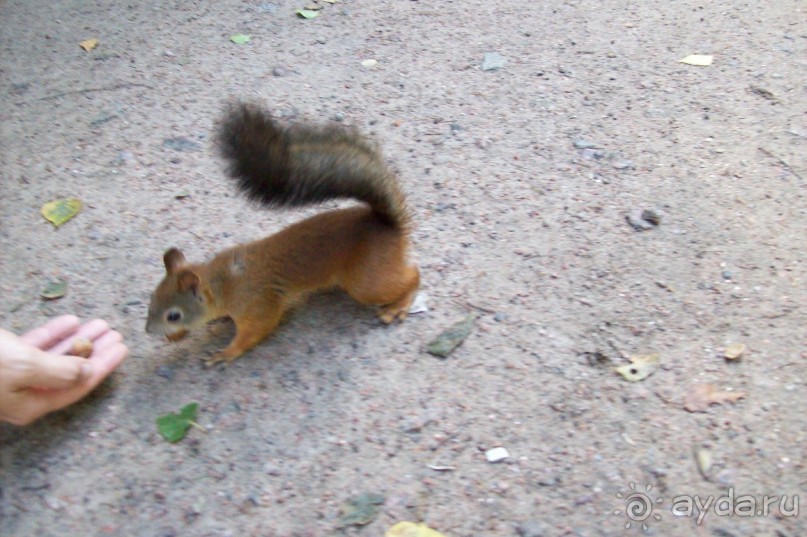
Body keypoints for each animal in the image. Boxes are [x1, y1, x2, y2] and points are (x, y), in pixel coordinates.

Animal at [147, 102, 422, 366]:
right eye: (152, 298)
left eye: (173, 315)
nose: (149, 330)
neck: (222, 282)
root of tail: (388, 225)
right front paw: (178, 336)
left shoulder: (258, 305)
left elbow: (257, 330)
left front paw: (225, 353)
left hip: (365, 282)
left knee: (412, 275)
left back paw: (398, 305)